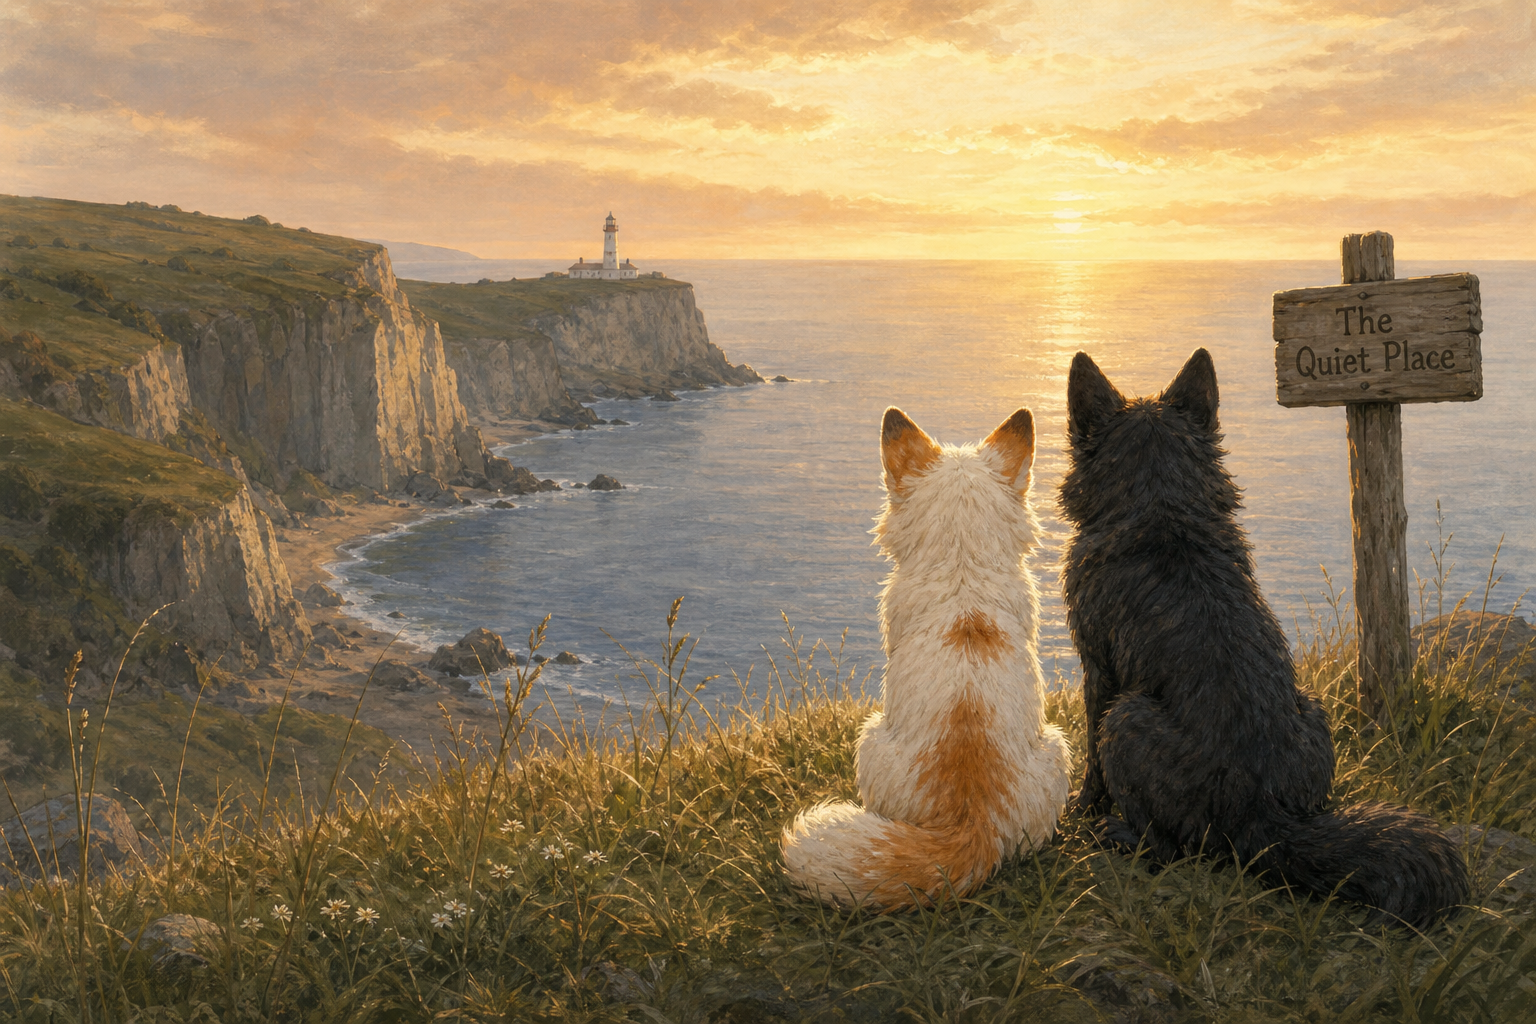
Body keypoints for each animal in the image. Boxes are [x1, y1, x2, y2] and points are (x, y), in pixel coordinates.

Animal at [1060, 347, 1468, 928]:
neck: (1161, 509)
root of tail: (1261, 813)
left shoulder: (1097, 669)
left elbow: (1091, 759)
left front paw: (1079, 811)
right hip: (1314, 709)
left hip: (1128, 716)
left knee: (1168, 849)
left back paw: (1115, 833)